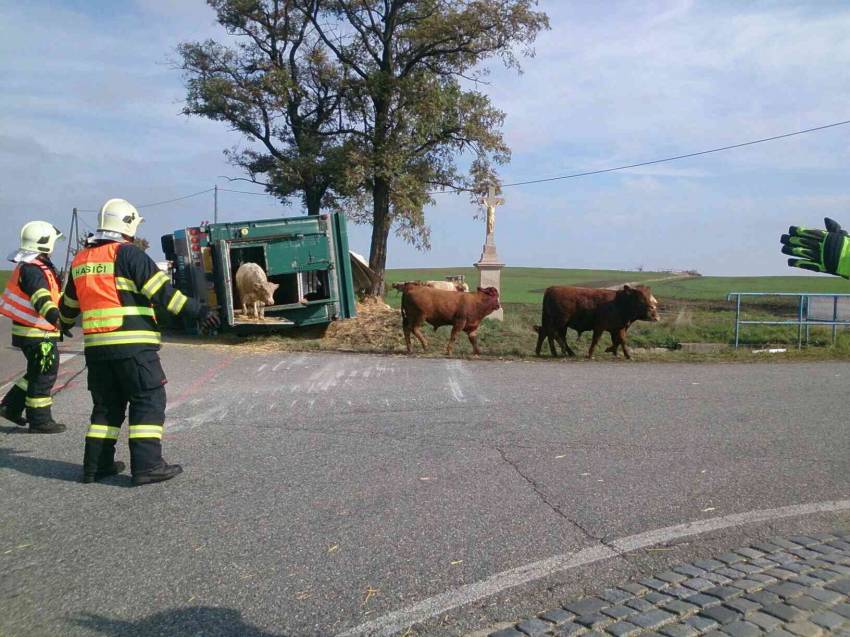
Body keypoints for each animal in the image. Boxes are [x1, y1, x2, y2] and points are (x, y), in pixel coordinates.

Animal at [532, 284, 660, 358]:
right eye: (640, 299)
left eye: (649, 297)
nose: (653, 310)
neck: (618, 303)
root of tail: (551, 289)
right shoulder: (600, 326)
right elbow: (596, 340)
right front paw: (590, 354)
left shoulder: (619, 327)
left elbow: (620, 341)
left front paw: (623, 354)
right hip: (559, 321)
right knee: (552, 334)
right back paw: (556, 352)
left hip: (558, 323)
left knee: (547, 333)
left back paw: (547, 352)